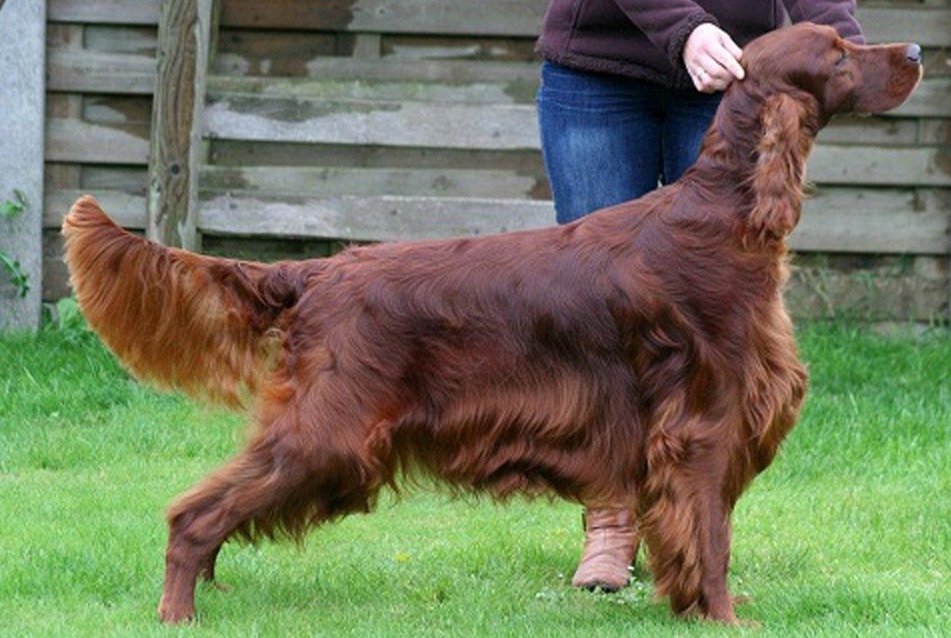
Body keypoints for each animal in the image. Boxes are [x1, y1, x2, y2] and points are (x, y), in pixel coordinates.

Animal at [65, 23, 924, 624]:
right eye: (838, 54)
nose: (916, 49)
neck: (724, 215)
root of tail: (316, 273)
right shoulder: (701, 427)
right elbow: (710, 538)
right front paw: (720, 619)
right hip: (329, 434)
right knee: (191, 515)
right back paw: (177, 612)